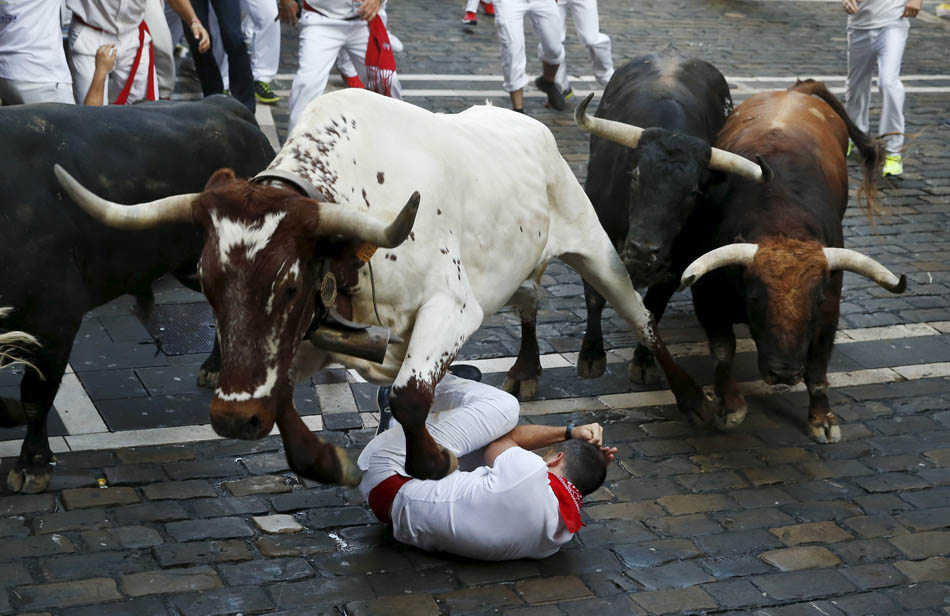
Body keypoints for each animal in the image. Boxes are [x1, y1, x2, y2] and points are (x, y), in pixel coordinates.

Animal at [52, 88, 708, 486]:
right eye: (208, 286)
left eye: (289, 287)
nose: (234, 421)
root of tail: (521, 120)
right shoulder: (310, 338)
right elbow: (285, 395)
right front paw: (326, 460)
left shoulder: (452, 306)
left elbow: (410, 396)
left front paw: (435, 456)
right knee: (530, 300)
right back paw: (523, 369)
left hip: (597, 248)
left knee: (639, 315)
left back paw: (693, 397)